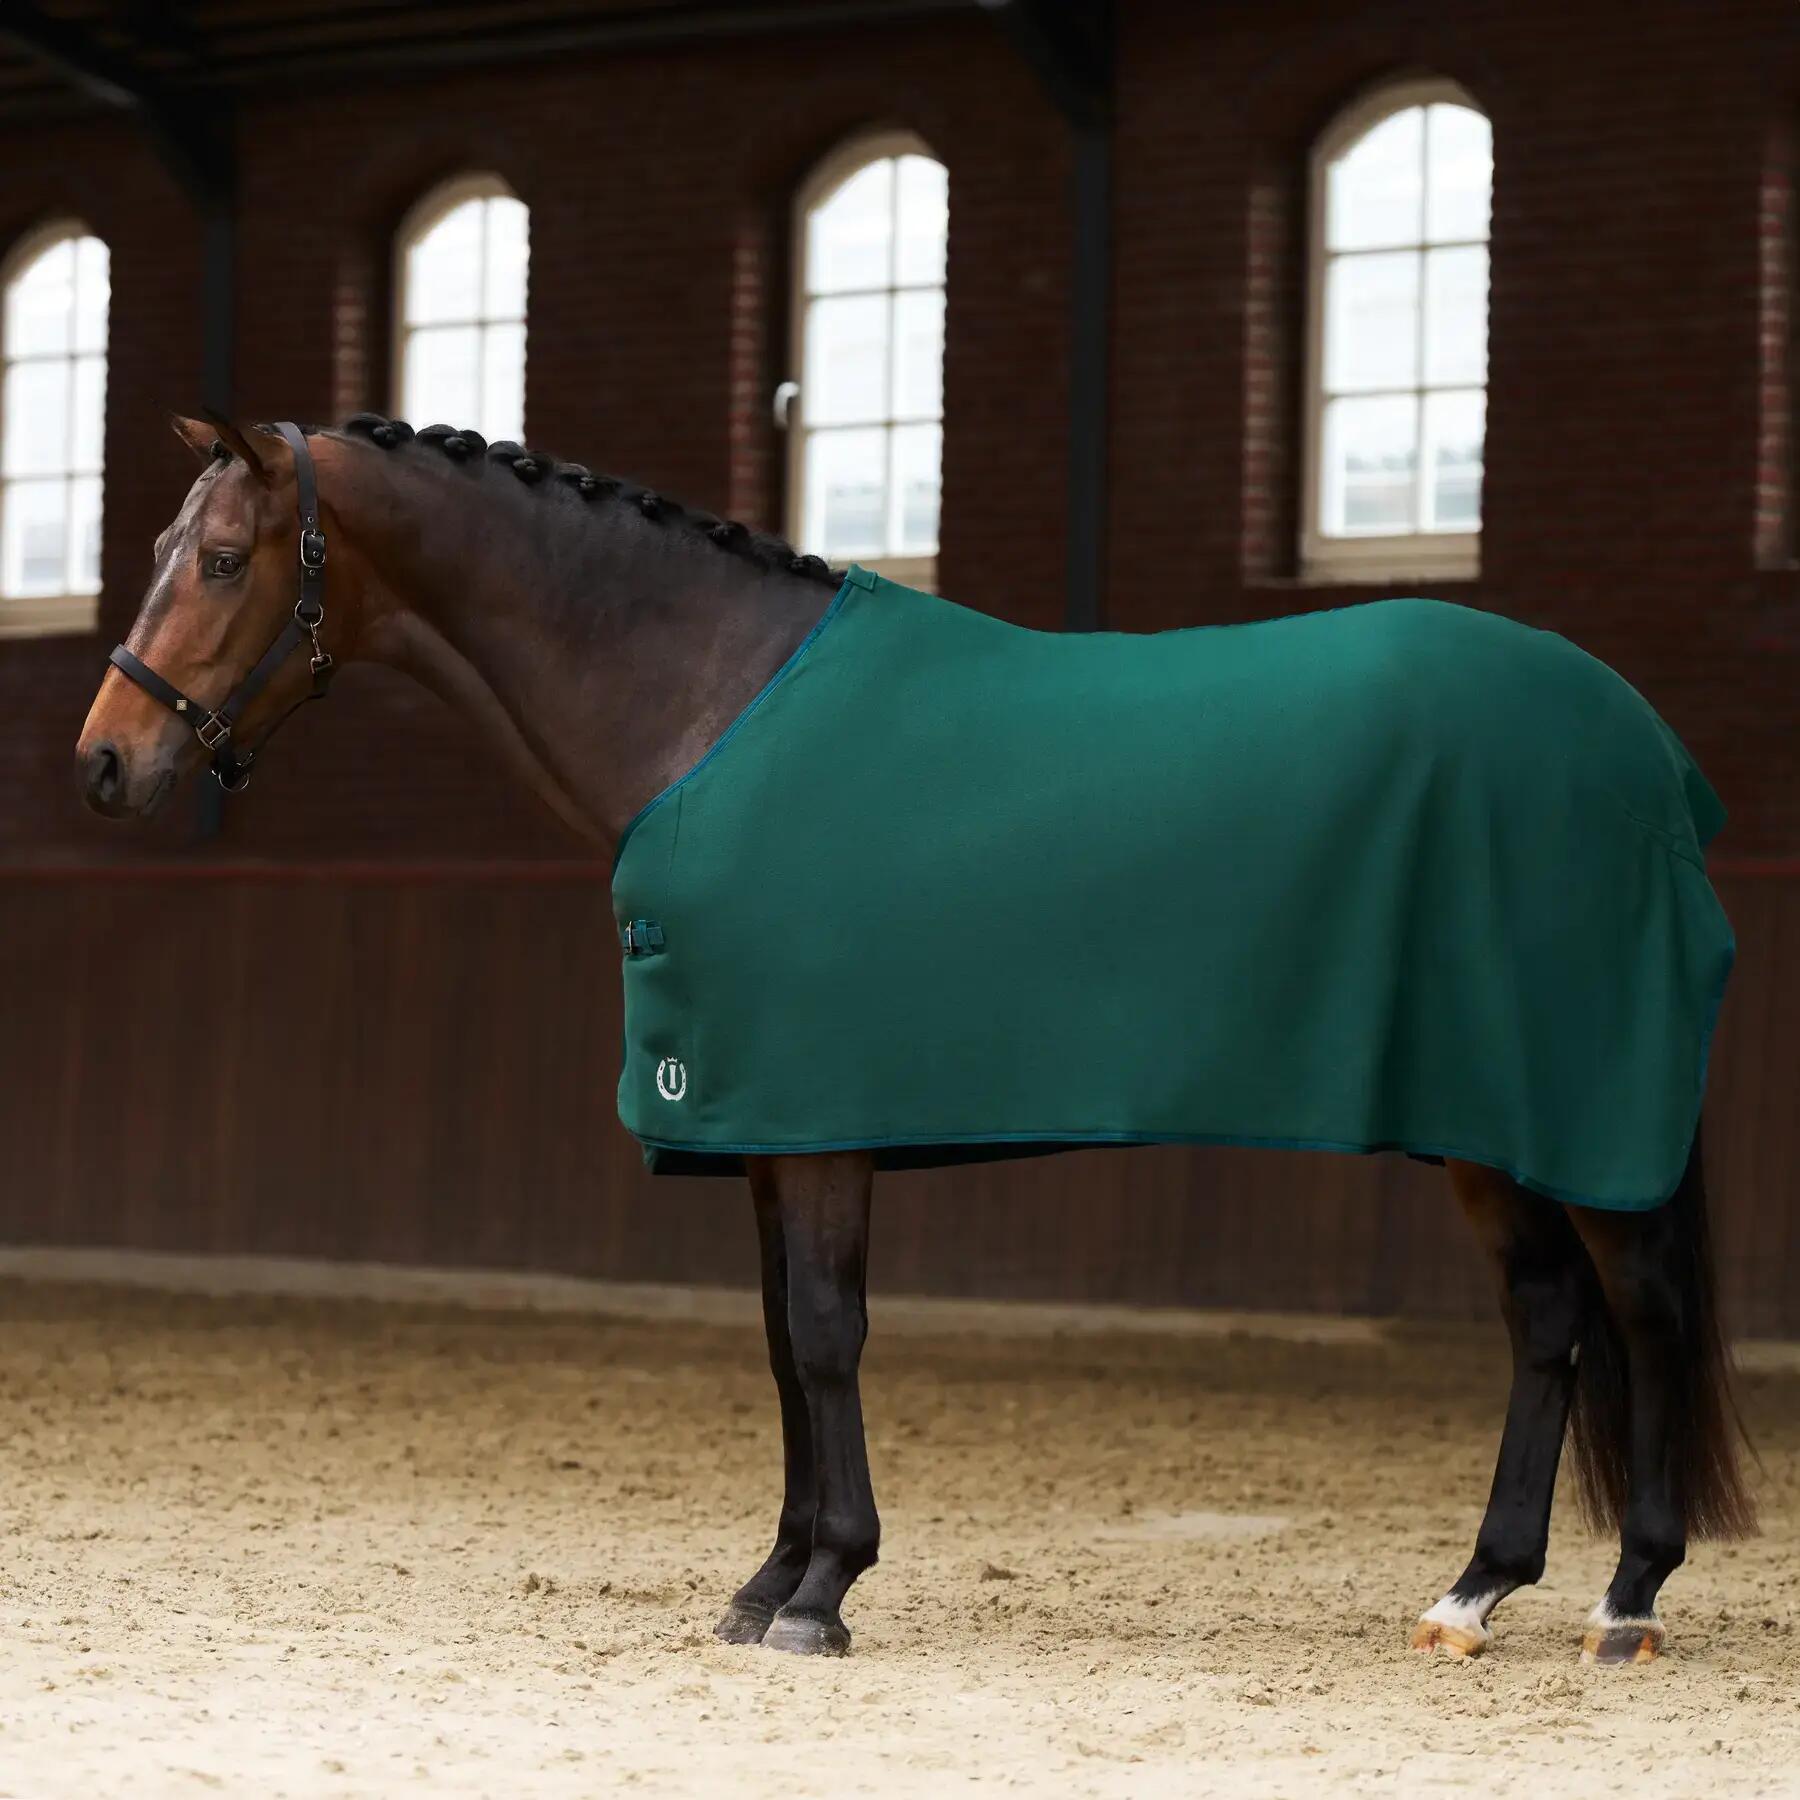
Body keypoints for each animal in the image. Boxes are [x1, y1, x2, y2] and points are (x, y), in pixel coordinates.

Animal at [76, 412, 1754, 1662]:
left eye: (218, 559)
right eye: (156, 552)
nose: (105, 762)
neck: (708, 702)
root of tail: (1648, 747)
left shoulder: (816, 1127)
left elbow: (825, 1338)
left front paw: (822, 1595)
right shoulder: (759, 1130)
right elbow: (778, 1346)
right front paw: (768, 1580)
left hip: (1570, 1116)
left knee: (1645, 1309)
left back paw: (1627, 1599)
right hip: (1485, 1125)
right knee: (1548, 1325)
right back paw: (1477, 1592)